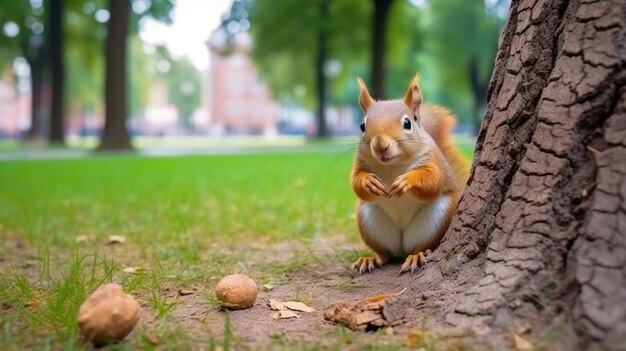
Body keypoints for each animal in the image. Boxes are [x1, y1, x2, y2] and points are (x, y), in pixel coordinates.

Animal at [348, 74, 466, 276]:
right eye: (362, 126)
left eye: (407, 123)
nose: (380, 145)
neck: (391, 165)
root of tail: (402, 245)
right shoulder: (360, 163)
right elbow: (356, 183)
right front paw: (368, 182)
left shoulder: (433, 161)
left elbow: (433, 182)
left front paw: (406, 180)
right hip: (370, 221)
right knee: (386, 253)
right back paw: (372, 258)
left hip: (436, 219)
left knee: (422, 246)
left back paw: (416, 256)